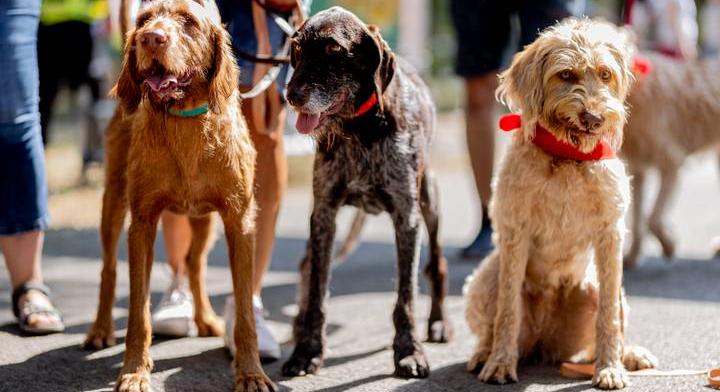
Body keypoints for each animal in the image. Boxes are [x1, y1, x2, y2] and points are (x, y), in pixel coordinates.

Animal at [82, 1, 276, 390]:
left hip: (204, 221)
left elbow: (245, 310)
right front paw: (134, 371)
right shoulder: (142, 223)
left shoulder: (239, 221)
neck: (187, 122)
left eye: (188, 21)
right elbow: (137, 312)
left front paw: (251, 372)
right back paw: (99, 329)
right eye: (145, 20)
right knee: (109, 268)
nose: (150, 38)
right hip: (113, 202)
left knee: (195, 263)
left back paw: (205, 318)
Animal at [282, 6, 450, 380]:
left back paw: (439, 322)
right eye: (296, 49)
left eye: (333, 49)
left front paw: (409, 351)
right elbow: (317, 292)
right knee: (305, 265)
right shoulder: (324, 215)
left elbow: (406, 297)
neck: (360, 129)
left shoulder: (407, 217)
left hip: (430, 200)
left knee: (438, 265)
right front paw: (307, 350)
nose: (291, 95)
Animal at [466, 18, 660, 388]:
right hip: (485, 278)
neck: (568, 157)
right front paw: (499, 362)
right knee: (493, 323)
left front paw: (610, 367)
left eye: (605, 74)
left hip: (595, 287)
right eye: (566, 74)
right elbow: (507, 310)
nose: (594, 117)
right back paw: (485, 353)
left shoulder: (610, 234)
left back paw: (628, 354)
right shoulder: (515, 233)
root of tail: (547, 341)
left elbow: (609, 316)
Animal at [620, 54, 720, 266]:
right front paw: (632, 256)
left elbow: (651, 219)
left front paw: (668, 245)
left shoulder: (672, 163)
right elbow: (638, 219)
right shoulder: (638, 171)